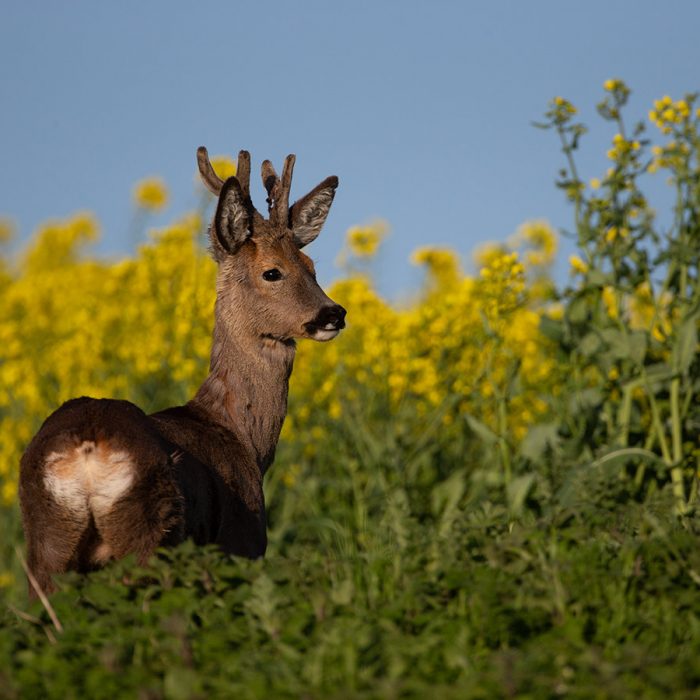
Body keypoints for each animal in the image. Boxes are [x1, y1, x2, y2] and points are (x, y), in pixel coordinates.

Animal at [20, 146, 348, 596]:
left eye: (311, 265)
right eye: (272, 271)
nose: (334, 313)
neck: (240, 437)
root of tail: (86, 450)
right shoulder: (240, 541)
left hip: (46, 545)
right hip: (150, 535)